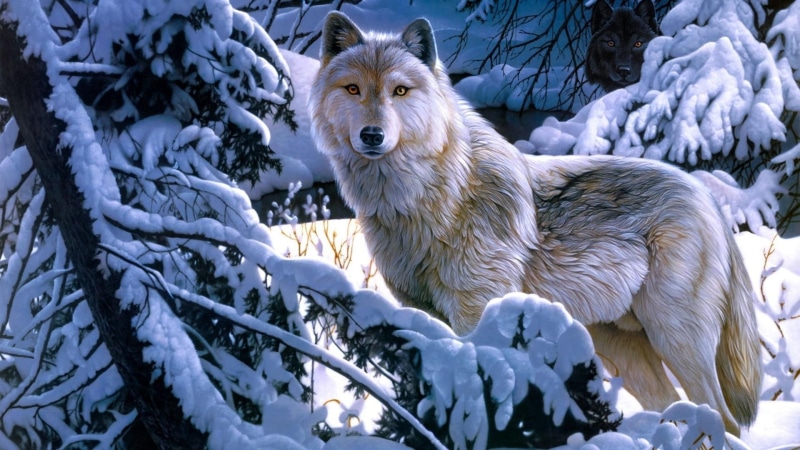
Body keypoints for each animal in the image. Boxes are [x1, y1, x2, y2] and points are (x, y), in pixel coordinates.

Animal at [308, 12, 761, 435]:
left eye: (400, 91)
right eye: (353, 89)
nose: (372, 135)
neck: (427, 199)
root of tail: (706, 197)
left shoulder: (476, 314)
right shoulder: (422, 314)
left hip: (675, 339)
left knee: (724, 419)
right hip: (622, 349)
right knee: (672, 408)